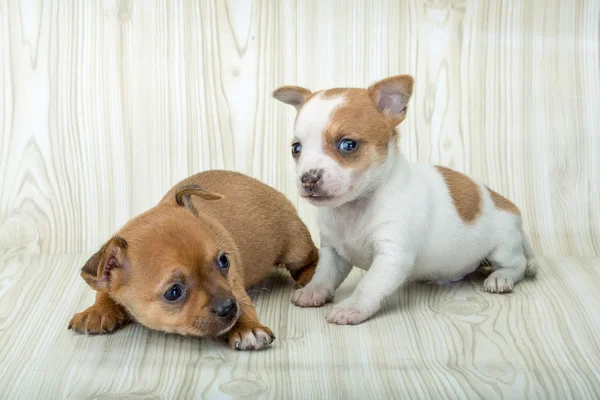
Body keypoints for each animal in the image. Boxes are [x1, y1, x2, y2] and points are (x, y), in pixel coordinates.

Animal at [67, 170, 316, 350]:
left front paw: (249, 328)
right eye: (173, 292)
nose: (228, 306)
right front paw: (96, 311)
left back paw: (311, 278)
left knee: (312, 257)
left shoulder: (235, 287)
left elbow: (244, 304)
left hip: (295, 246)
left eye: (224, 261)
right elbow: (103, 291)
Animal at [274, 74, 536, 324]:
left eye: (348, 144)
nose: (307, 179)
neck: (355, 208)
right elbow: (324, 275)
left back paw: (501, 277)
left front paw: (352, 307)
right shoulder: (333, 253)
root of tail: (509, 206)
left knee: (518, 264)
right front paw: (313, 291)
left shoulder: (392, 255)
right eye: (296, 149)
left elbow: (369, 284)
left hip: (503, 248)